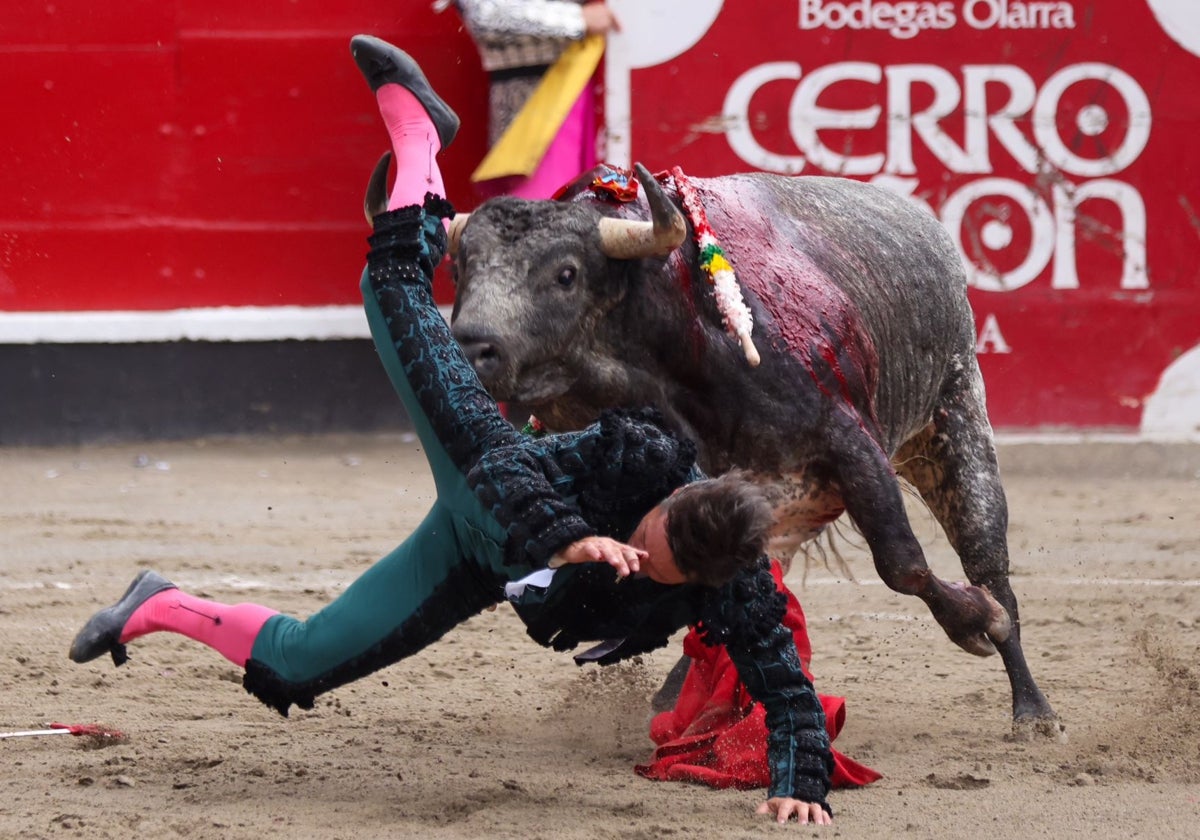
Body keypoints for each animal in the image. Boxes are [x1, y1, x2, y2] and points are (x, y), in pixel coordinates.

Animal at [367, 157, 1060, 734]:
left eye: (566, 274)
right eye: (462, 268)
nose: (471, 346)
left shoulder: (850, 440)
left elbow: (902, 563)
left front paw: (976, 624)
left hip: (954, 422)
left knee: (988, 561)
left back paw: (1032, 707)